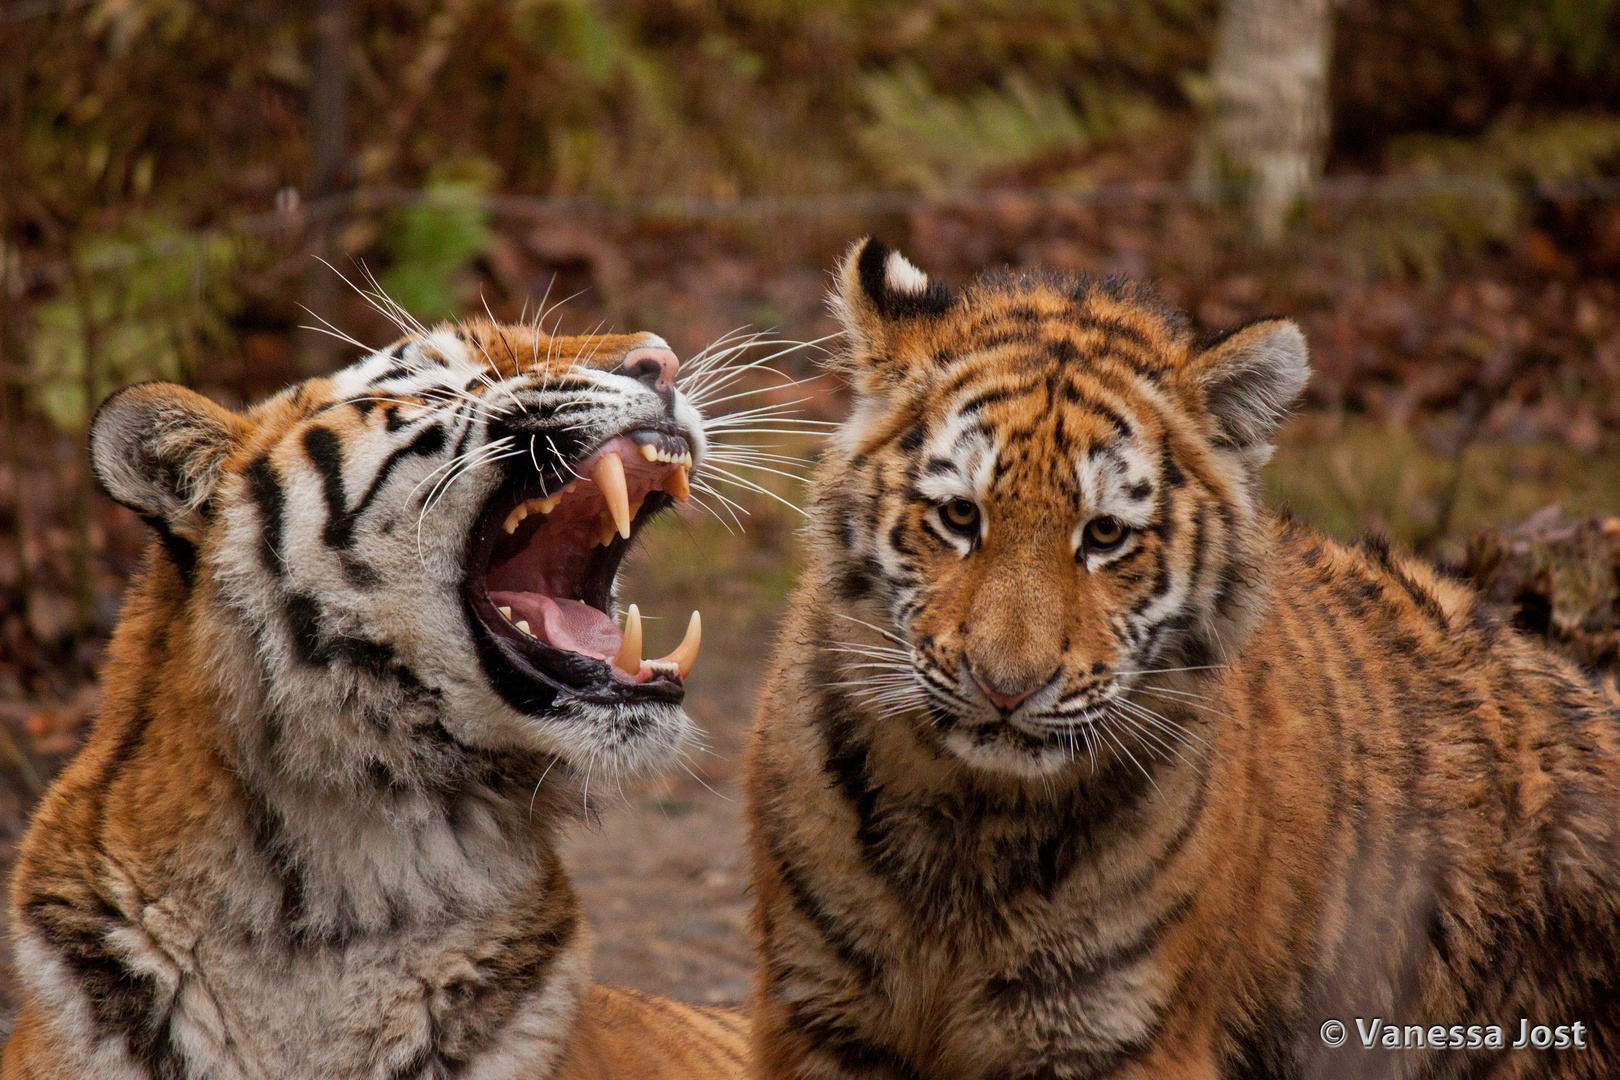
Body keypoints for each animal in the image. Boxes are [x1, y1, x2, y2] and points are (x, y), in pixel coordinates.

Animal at [745, 241, 1620, 1080]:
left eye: (1104, 535)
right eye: (960, 517)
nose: (1006, 688)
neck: (973, 826)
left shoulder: (1120, 1035)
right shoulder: (818, 1013)